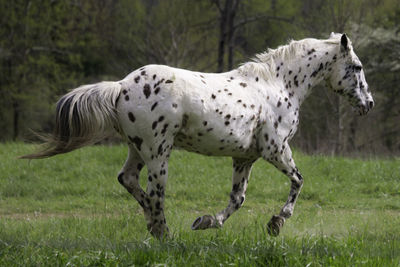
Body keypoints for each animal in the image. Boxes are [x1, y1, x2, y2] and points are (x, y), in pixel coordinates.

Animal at [20, 33, 374, 239]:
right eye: (357, 67)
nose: (368, 103)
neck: (279, 84)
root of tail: (121, 86)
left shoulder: (245, 157)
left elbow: (237, 199)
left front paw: (205, 222)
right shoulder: (275, 148)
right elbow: (298, 180)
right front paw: (277, 222)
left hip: (138, 150)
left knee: (128, 180)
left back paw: (156, 228)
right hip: (158, 153)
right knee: (155, 194)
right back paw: (165, 235)